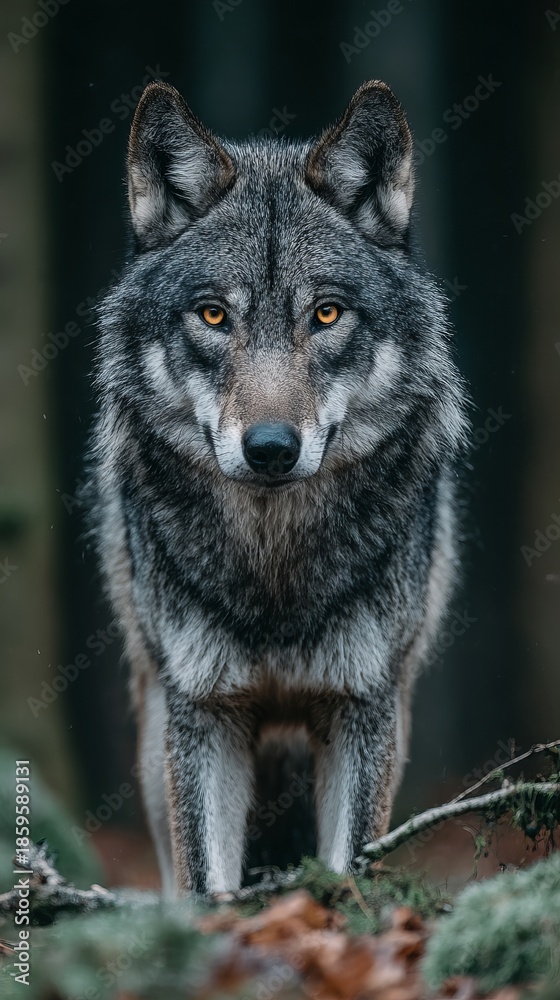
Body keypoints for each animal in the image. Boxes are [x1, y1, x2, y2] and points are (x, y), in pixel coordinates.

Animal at [91, 79, 468, 895]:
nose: (269, 449)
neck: (276, 569)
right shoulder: (202, 711)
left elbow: (350, 867)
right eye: (213, 314)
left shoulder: (365, 705)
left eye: (325, 313)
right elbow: (209, 883)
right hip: (154, 729)